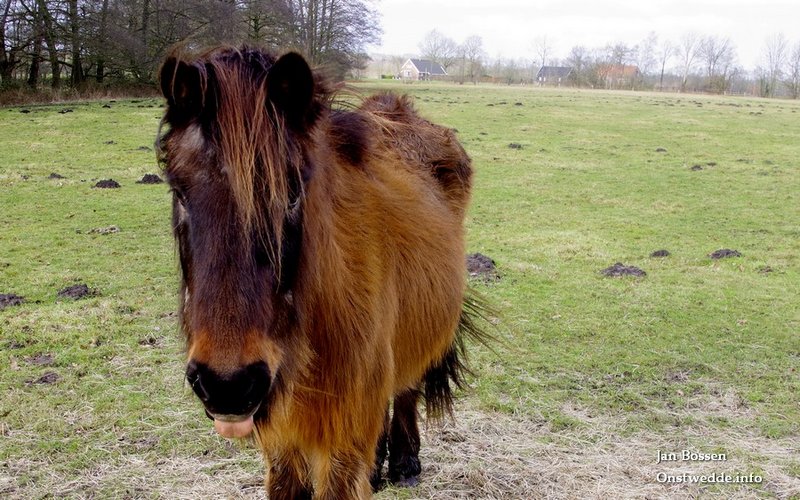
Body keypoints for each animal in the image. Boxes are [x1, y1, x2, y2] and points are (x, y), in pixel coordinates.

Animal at [157, 46, 485, 499]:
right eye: (180, 193)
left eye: (293, 193)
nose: (227, 384)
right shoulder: (284, 441)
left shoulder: (342, 441)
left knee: (406, 387)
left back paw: (404, 461)